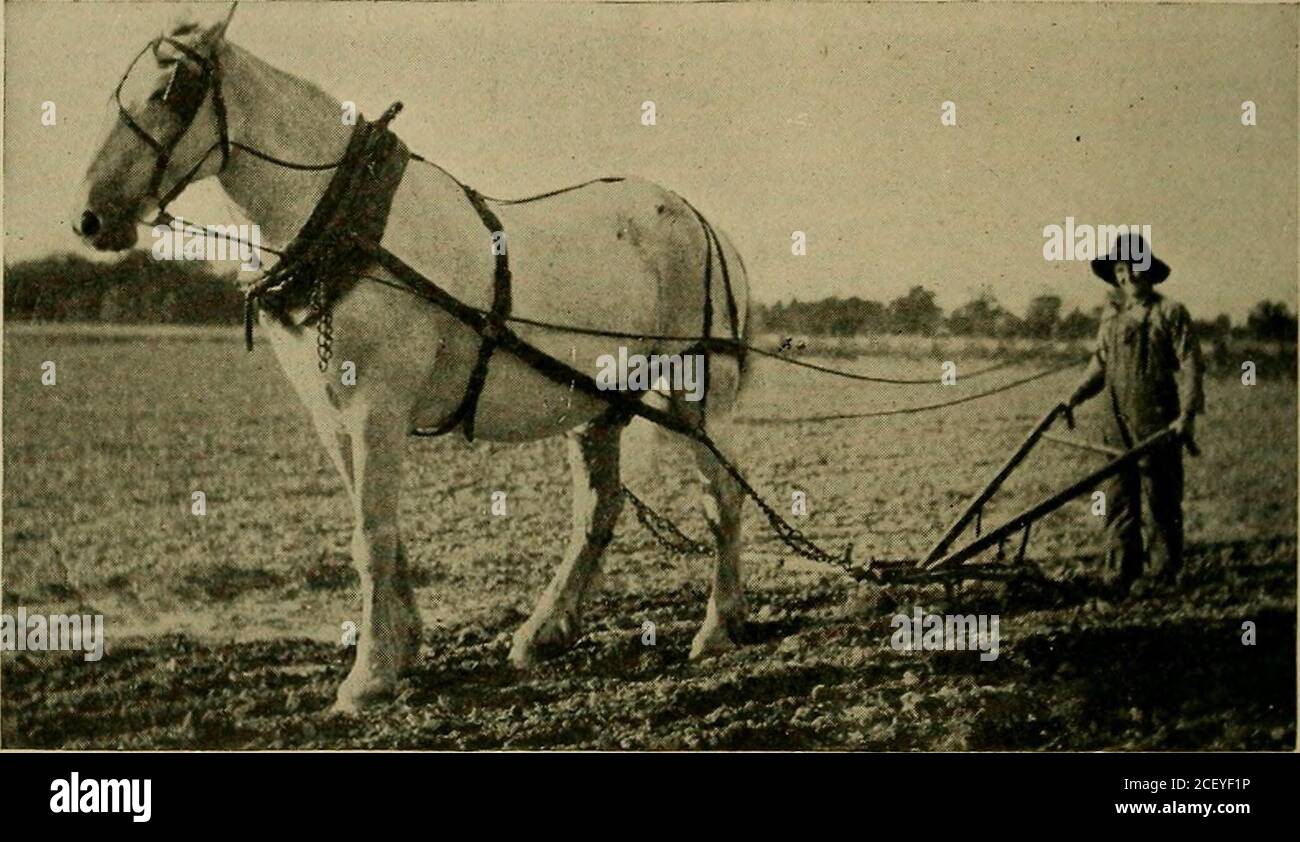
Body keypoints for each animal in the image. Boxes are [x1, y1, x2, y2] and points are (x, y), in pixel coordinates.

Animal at [73, 11, 754, 712]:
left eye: (170, 91)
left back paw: (717, 628)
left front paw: (366, 678)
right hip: (598, 400)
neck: (346, 221)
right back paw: (545, 633)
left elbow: (372, 536)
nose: (90, 218)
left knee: (722, 496)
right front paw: (403, 650)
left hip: (699, 393)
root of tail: (703, 222)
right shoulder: (334, 416)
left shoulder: (377, 405)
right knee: (599, 508)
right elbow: (381, 531)